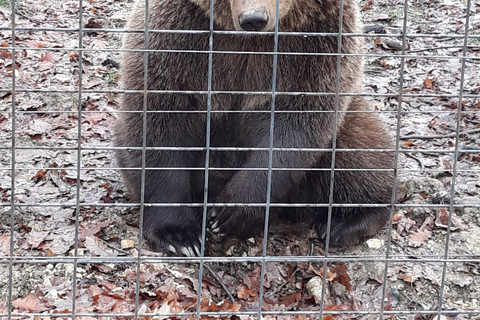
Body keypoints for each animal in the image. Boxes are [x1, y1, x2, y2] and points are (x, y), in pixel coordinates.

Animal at [115, 0, 394, 256]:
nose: (254, 19)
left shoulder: (314, 45)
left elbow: (296, 127)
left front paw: (228, 214)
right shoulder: (180, 38)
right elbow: (160, 122)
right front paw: (180, 237)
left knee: (357, 150)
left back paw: (344, 222)